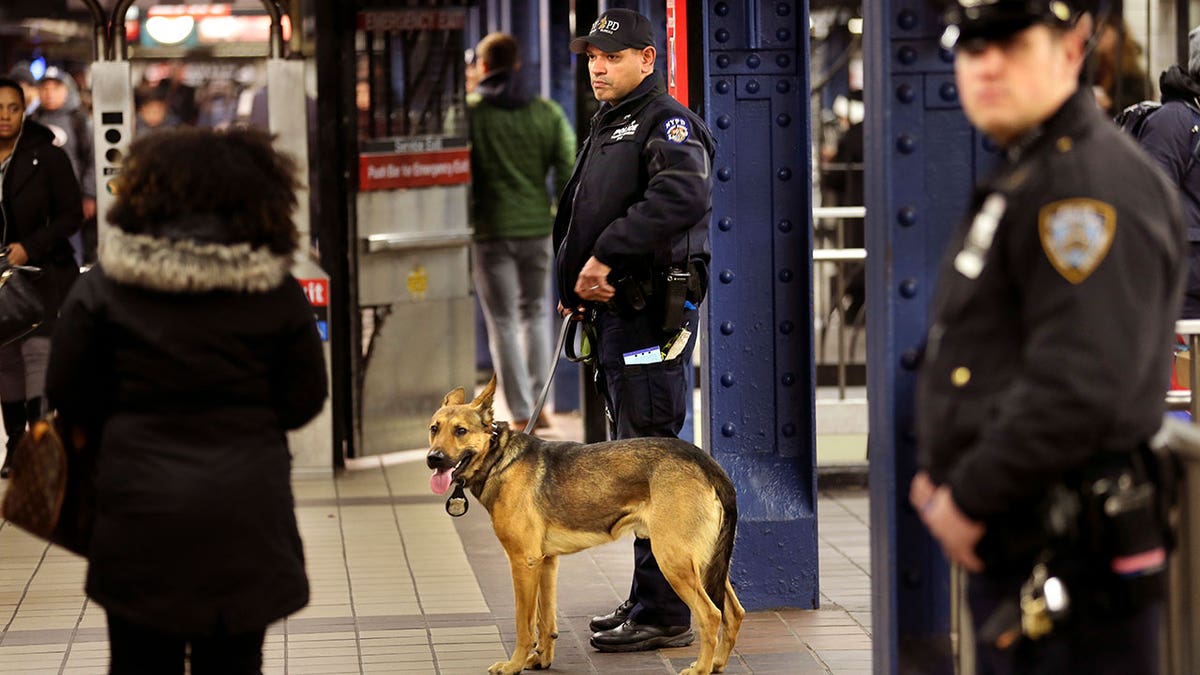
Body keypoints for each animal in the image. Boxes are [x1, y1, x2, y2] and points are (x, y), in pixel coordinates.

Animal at [422, 374, 739, 667]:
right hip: (704, 562)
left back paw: (701, 668)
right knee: (733, 613)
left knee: (712, 615)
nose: (432, 458)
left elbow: (524, 625)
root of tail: (705, 461)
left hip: (673, 559)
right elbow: (545, 619)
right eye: (434, 429)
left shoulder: (523, 562)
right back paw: (717, 663)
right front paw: (541, 660)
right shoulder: (545, 562)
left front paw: (514, 665)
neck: (499, 459)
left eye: (461, 431)